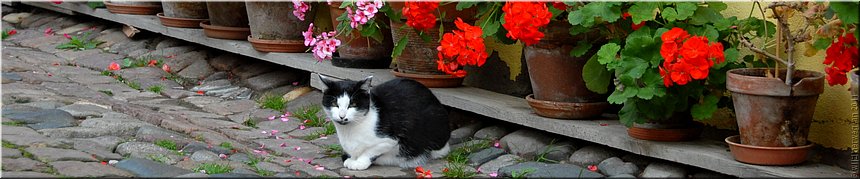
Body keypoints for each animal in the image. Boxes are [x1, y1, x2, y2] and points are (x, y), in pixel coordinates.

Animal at [320, 75, 454, 171]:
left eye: (352, 104)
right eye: (334, 103)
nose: (342, 116)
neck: (348, 131)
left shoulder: (389, 140)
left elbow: (370, 151)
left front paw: (359, 162)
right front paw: (352, 158)